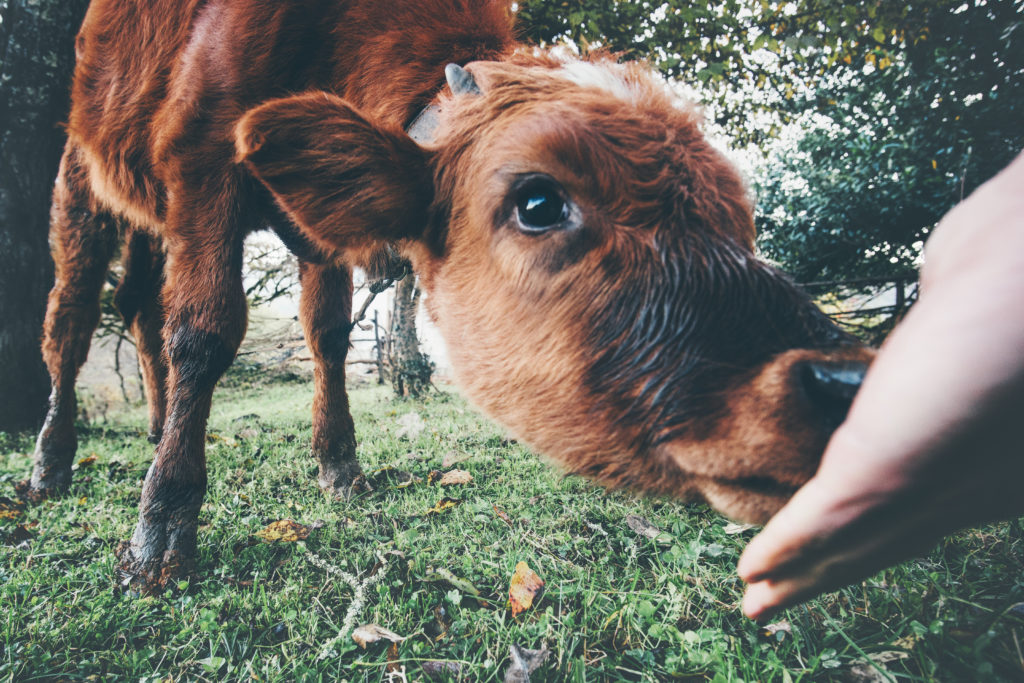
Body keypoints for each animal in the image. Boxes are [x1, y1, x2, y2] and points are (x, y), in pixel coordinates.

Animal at [24, 0, 868, 589]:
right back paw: (51, 463)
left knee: (138, 305)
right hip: (82, 181)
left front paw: (340, 465)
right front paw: (160, 531)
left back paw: (156, 420)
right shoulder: (202, 168)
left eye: (740, 217)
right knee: (72, 321)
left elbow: (327, 334)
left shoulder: (316, 234)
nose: (846, 386)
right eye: (538, 202)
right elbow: (204, 331)